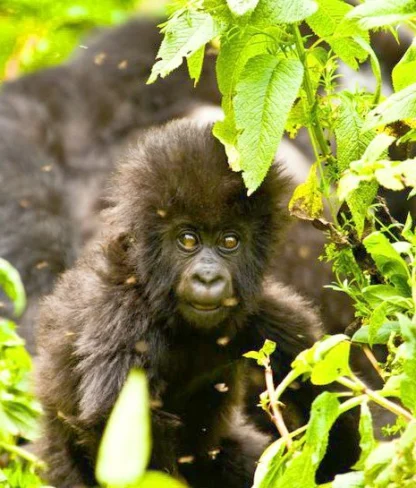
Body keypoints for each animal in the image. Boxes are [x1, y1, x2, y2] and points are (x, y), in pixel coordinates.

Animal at [36, 120, 360, 486]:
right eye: (188, 240)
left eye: (229, 241)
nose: (207, 278)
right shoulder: (122, 315)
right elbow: (117, 431)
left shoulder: (268, 317)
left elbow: (322, 389)